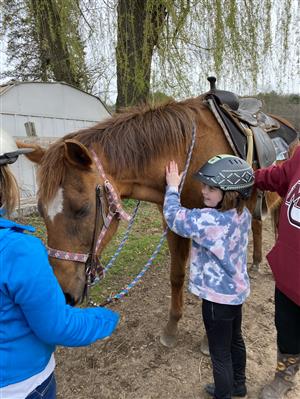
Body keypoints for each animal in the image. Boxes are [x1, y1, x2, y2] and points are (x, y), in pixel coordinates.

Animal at [18, 96, 286, 346]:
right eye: (41, 210)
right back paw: (255, 262)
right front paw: (172, 327)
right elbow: (176, 276)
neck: (187, 154)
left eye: (82, 209)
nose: (62, 294)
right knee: (257, 226)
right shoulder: (174, 222)